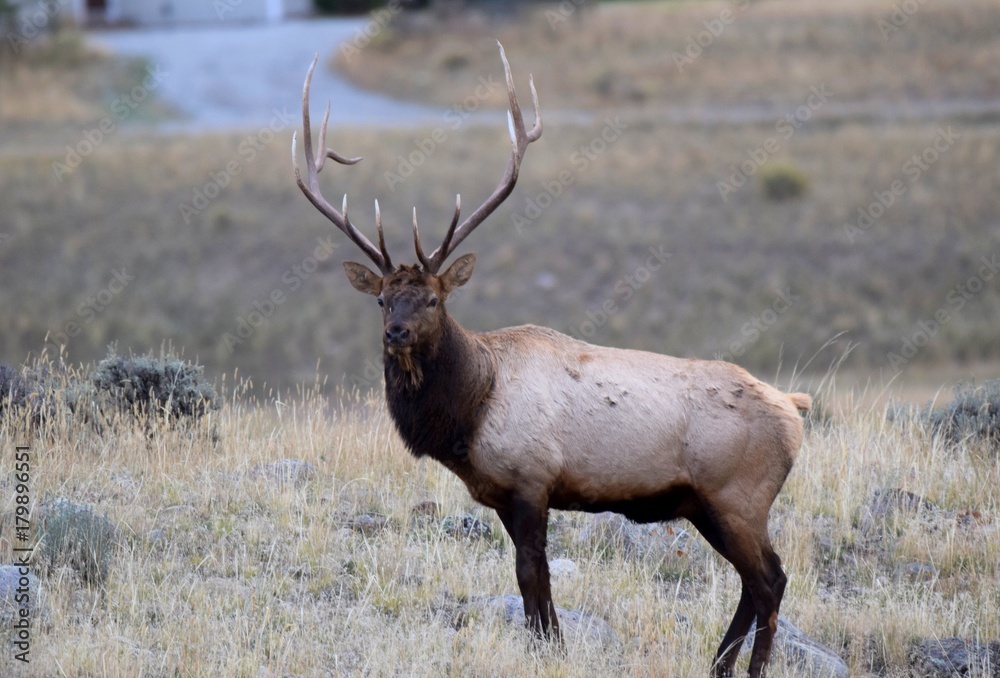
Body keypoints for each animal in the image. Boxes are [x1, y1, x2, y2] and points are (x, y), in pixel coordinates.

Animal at [291, 44, 812, 678]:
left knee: (770, 579)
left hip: (738, 495)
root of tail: (794, 408)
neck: (469, 413)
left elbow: (531, 574)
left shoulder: (532, 478)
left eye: (434, 299)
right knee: (754, 582)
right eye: (383, 299)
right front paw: (548, 641)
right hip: (705, 505)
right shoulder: (501, 493)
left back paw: (750, 666)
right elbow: (529, 577)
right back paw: (718, 663)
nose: (397, 333)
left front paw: (550, 647)